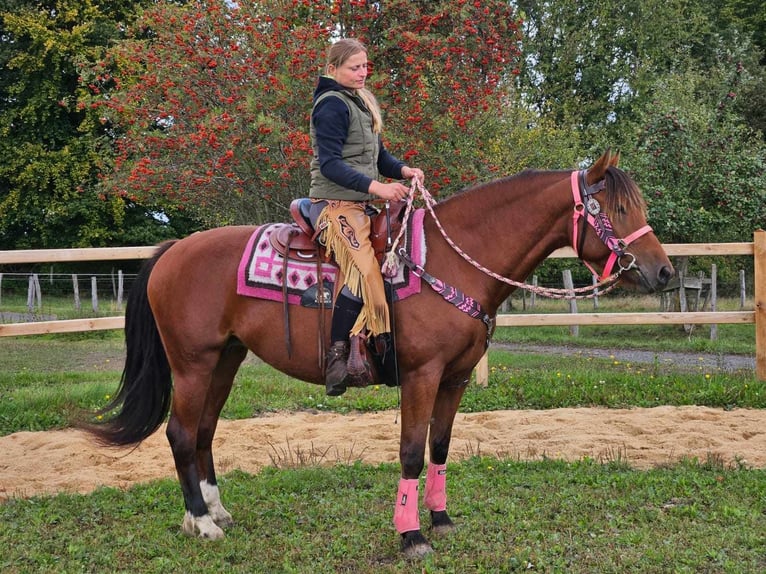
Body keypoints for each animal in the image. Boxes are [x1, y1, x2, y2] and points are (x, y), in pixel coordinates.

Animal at [85, 151, 672, 560]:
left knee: (205, 432)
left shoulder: (455, 379)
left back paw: (218, 511)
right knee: (181, 434)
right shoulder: (421, 375)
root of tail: (171, 252)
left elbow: (440, 447)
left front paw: (441, 520)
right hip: (193, 364)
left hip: (224, 360)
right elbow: (411, 451)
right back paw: (200, 522)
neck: (452, 263)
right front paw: (411, 536)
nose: (664, 271)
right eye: (617, 209)